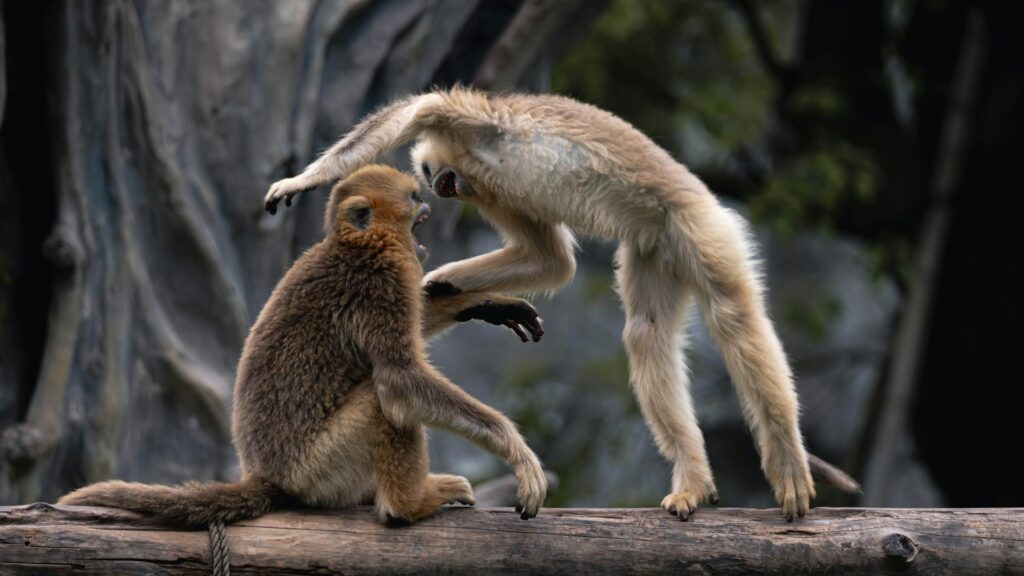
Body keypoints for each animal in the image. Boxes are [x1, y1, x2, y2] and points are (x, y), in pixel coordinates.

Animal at [59, 165, 548, 526]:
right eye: (411, 197)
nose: (427, 197)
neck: (356, 245)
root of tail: (267, 475)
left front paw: (482, 304)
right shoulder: (381, 282)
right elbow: (399, 381)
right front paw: (517, 452)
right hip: (318, 469)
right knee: (383, 401)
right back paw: (406, 506)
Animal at [263, 87, 861, 522]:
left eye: (437, 179)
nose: (443, 186)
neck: (478, 161)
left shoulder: (479, 126)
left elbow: (422, 107)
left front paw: (306, 176)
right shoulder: (492, 187)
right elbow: (551, 261)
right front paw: (447, 283)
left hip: (699, 228)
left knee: (735, 318)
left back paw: (786, 459)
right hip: (654, 247)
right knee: (646, 332)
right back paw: (693, 478)